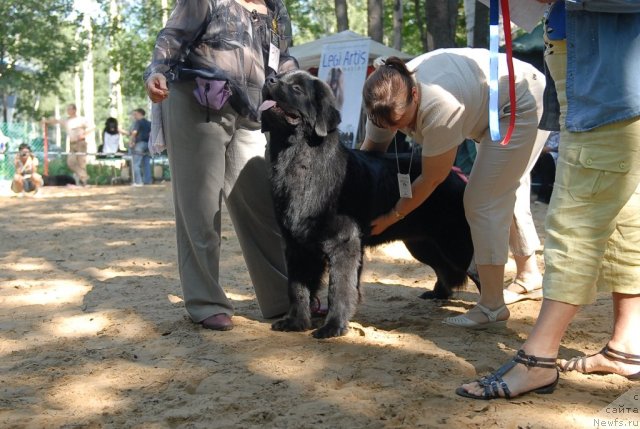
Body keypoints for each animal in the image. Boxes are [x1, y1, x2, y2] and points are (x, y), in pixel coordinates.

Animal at [260, 71, 476, 338]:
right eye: (277, 76)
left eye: (297, 88)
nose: (268, 80)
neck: (298, 161)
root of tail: (455, 174)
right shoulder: (296, 244)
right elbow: (297, 288)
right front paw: (295, 322)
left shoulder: (343, 243)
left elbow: (339, 289)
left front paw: (332, 327)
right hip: (422, 243)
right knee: (443, 267)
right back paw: (438, 293)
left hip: (456, 243)